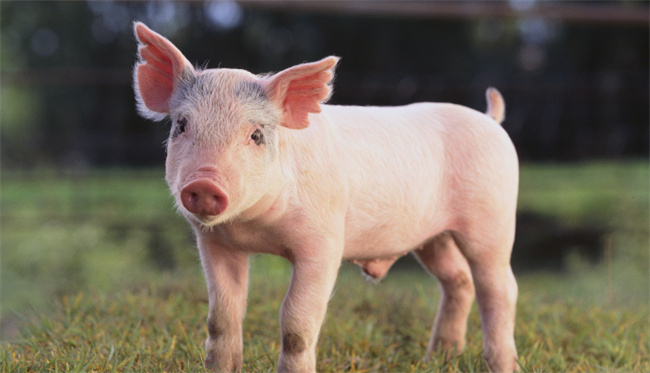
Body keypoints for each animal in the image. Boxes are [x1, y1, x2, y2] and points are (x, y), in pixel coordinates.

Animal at [134, 21, 520, 370]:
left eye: (256, 135)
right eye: (181, 126)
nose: (204, 184)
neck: (256, 227)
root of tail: (491, 120)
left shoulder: (324, 243)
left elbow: (296, 323)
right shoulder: (215, 242)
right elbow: (221, 316)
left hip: (493, 218)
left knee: (499, 288)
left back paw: (502, 365)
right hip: (434, 237)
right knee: (459, 280)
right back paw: (439, 358)